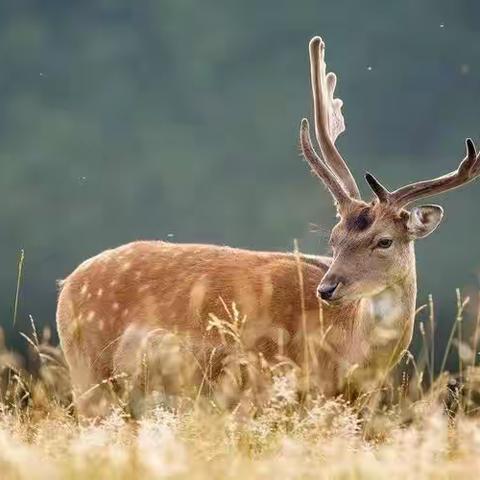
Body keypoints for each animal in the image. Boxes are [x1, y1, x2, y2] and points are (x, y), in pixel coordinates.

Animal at [57, 36, 480, 416]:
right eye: (334, 239)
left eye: (384, 241)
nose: (327, 288)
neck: (349, 354)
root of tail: (67, 285)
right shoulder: (266, 381)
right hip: (88, 371)